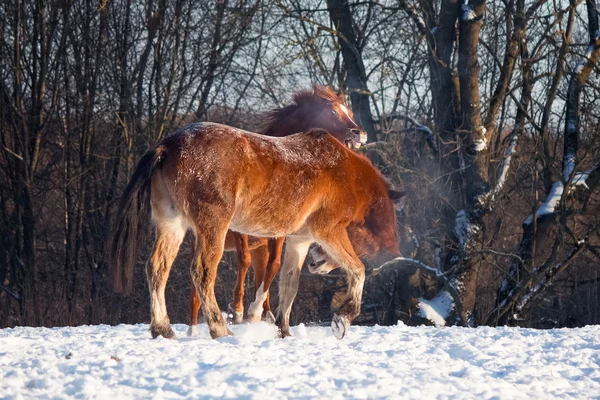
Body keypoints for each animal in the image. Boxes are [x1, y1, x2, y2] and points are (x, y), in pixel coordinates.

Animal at [108, 123, 400, 340]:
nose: (316, 263)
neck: (345, 173)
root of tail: (167, 146)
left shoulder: (299, 240)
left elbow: (289, 285)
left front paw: (283, 331)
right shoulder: (329, 231)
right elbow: (358, 270)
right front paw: (343, 318)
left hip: (173, 224)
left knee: (157, 268)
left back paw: (163, 329)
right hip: (213, 226)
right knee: (202, 272)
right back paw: (220, 329)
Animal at [186, 86, 366, 334]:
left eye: (349, 111)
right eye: (332, 112)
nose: (359, 133)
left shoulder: (279, 234)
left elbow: (274, 267)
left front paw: (259, 313)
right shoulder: (241, 231)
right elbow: (244, 261)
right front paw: (239, 310)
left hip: (260, 246)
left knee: (261, 272)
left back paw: (264, 314)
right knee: (199, 286)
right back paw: (196, 328)